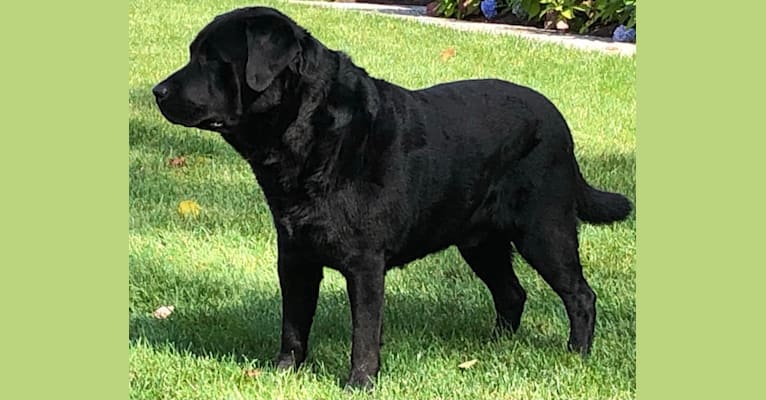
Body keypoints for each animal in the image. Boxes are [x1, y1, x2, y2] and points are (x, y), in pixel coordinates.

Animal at [152, 5, 636, 388]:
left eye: (211, 60)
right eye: (194, 55)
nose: (158, 91)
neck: (308, 134)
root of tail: (558, 121)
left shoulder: (365, 263)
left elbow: (364, 333)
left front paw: (360, 382)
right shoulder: (294, 255)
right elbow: (293, 323)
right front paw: (283, 373)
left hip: (543, 229)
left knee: (579, 295)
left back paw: (576, 355)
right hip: (479, 240)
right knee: (512, 292)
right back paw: (495, 347)